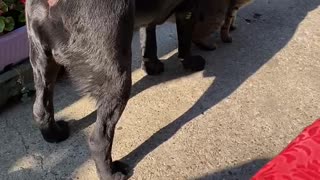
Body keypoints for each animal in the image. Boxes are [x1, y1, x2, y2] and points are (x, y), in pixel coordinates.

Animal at [25, 0, 205, 179]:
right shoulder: (188, 10)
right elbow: (184, 41)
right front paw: (190, 62)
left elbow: (148, 34)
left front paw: (151, 65)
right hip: (117, 78)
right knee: (98, 139)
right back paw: (111, 173)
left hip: (42, 60)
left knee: (40, 109)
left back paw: (54, 134)